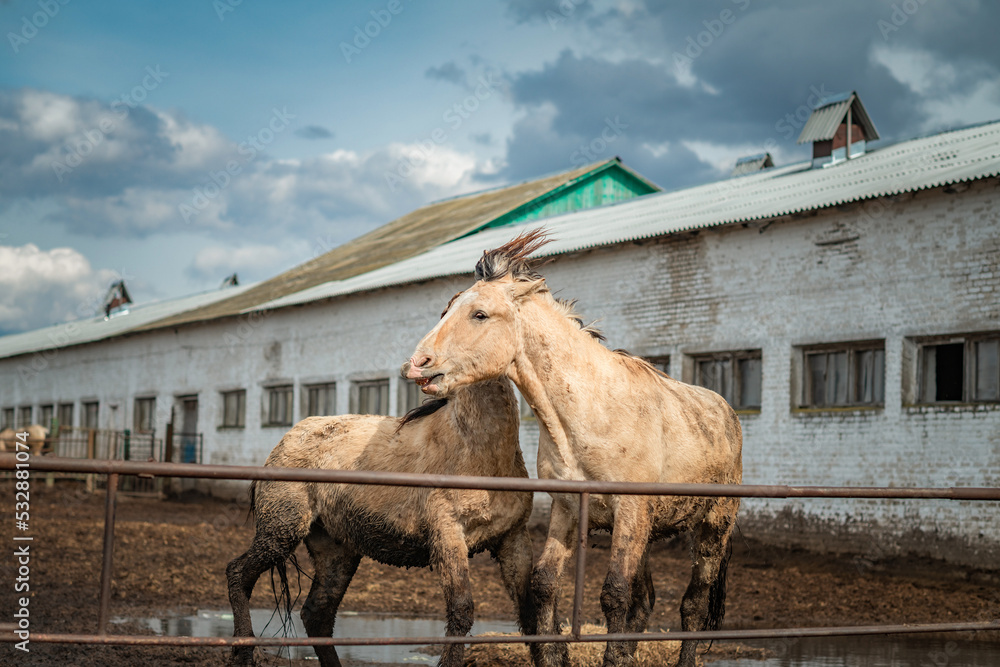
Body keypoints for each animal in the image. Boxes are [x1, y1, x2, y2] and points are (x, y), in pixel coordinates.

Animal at [226, 326, 537, 666]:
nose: (418, 365)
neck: (479, 453)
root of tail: (284, 441)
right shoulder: (448, 536)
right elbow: (461, 611)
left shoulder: (513, 539)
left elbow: (533, 614)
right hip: (281, 530)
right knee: (238, 574)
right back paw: (242, 652)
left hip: (335, 549)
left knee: (317, 614)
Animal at [405, 229, 743, 667]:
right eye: (447, 308)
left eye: (479, 314)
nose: (417, 364)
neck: (590, 412)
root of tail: (727, 413)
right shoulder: (567, 509)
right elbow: (546, 585)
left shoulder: (630, 510)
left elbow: (614, 594)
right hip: (647, 533)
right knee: (645, 601)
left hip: (712, 527)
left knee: (693, 604)